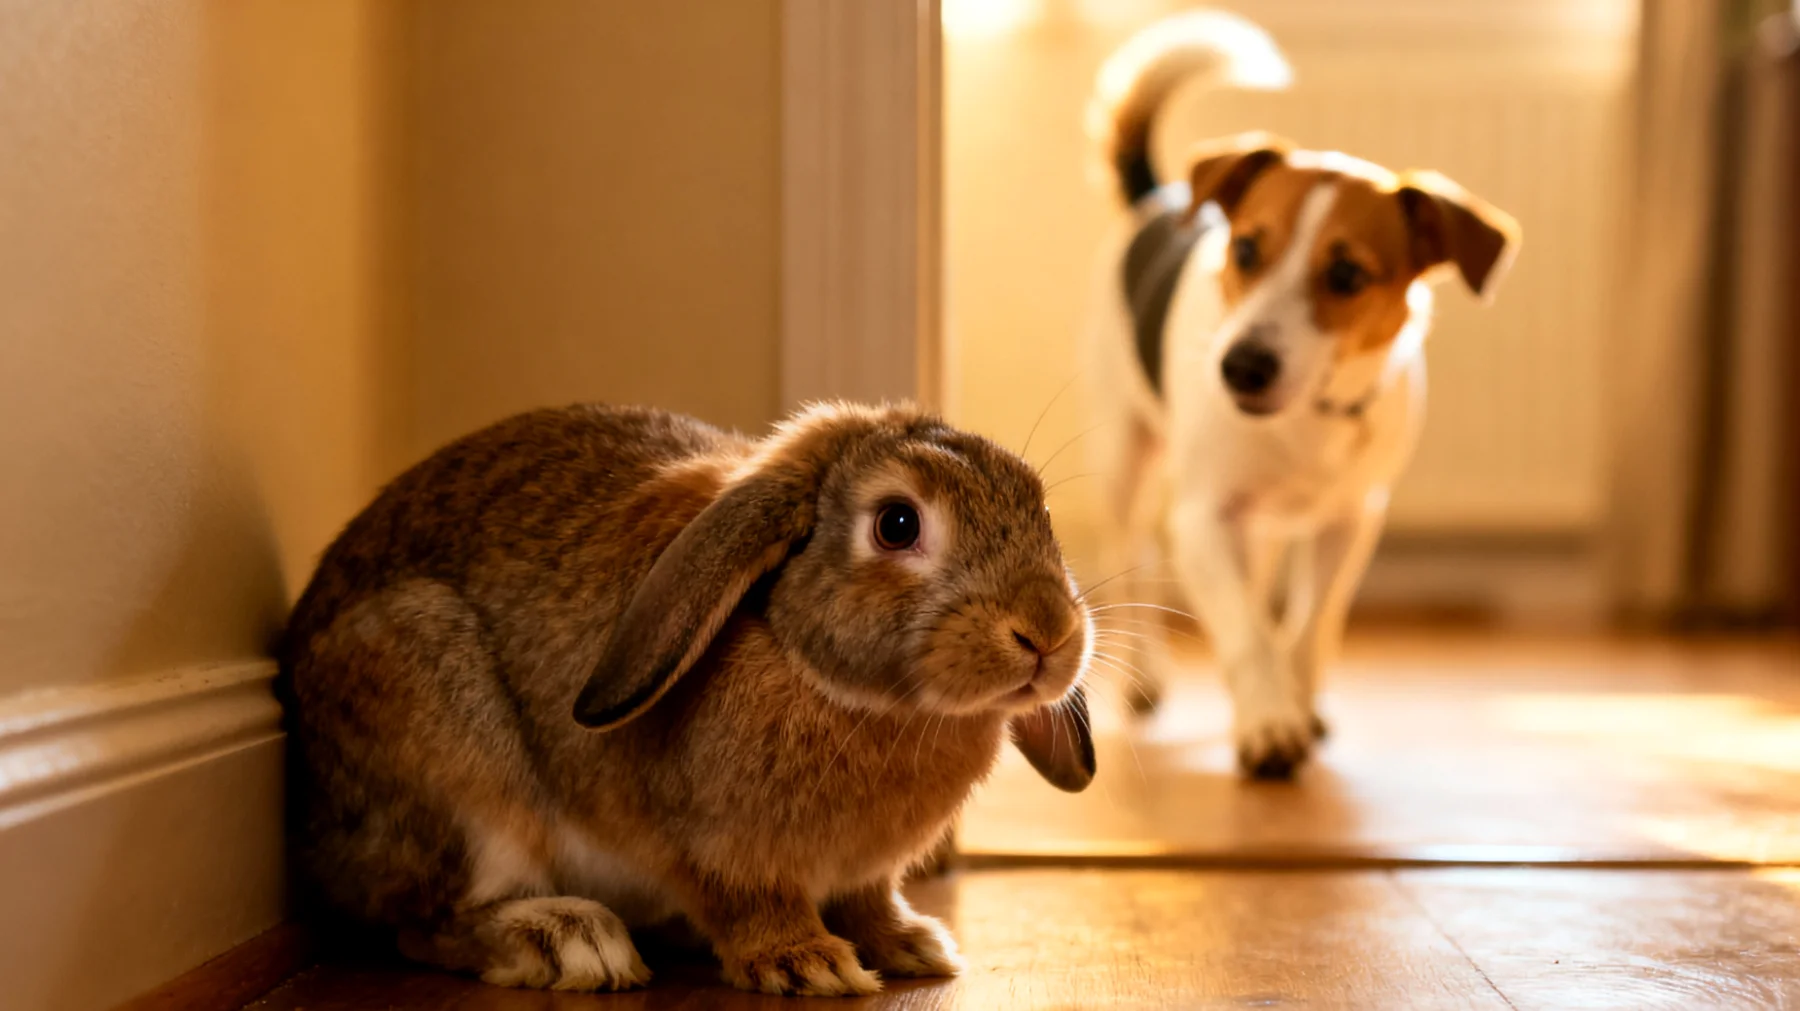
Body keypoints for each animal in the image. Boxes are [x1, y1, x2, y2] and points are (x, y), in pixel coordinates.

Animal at [279, 400, 1096, 996]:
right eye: (897, 523)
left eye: (1040, 508)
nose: (1047, 633)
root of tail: (313, 840)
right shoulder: (716, 850)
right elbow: (747, 898)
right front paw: (807, 962)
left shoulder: (865, 873)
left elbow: (869, 899)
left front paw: (911, 944)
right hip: (446, 739)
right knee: (425, 920)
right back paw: (569, 941)